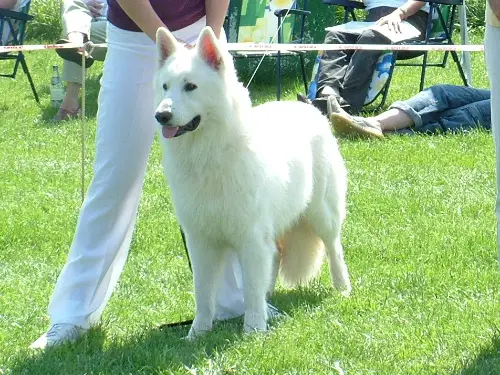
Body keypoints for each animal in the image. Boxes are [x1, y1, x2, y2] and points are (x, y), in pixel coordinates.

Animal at [154, 26, 350, 338]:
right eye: (164, 87)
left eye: (190, 87)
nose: (161, 116)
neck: (209, 154)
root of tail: (308, 107)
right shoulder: (201, 242)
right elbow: (203, 293)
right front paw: (198, 333)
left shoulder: (251, 238)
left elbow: (251, 289)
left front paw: (254, 330)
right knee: (276, 258)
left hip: (322, 213)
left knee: (334, 248)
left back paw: (342, 287)